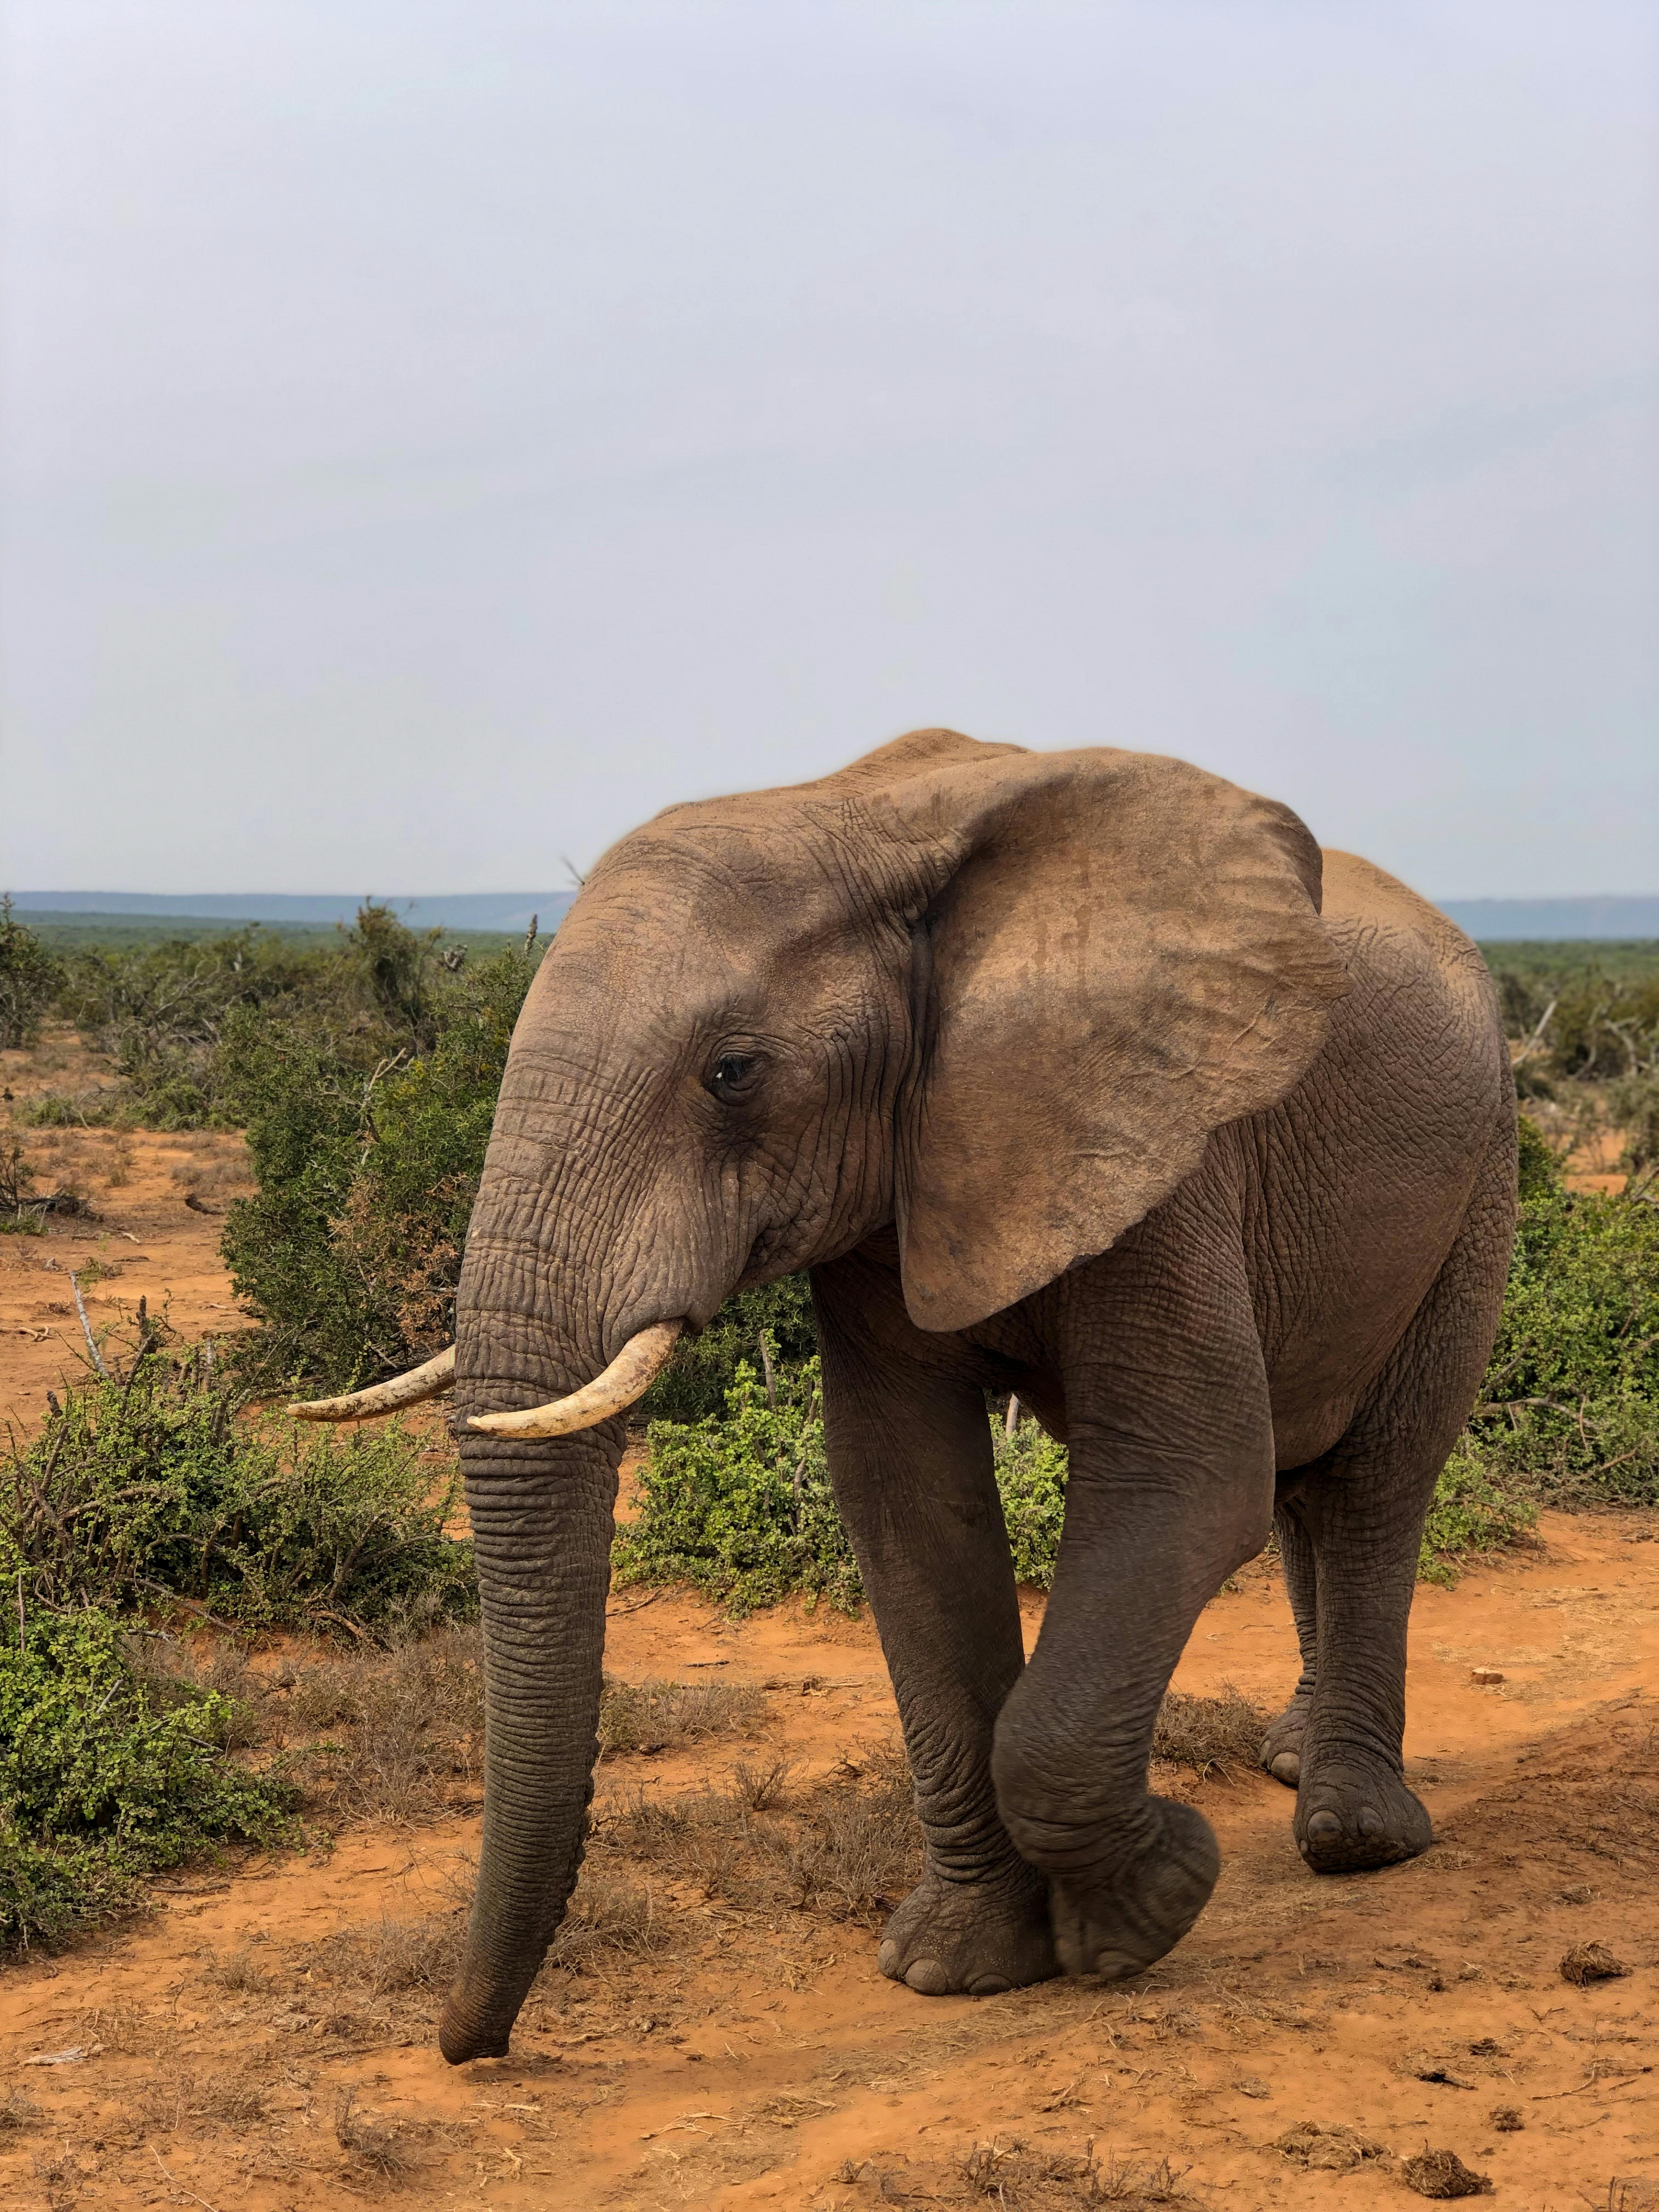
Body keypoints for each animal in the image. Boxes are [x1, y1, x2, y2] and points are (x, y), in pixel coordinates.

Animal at [292, 726, 1517, 2063]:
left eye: (732, 1073)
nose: (469, 2047)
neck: (851, 817)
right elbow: (902, 1494)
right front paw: (959, 1968)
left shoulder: (1162, 1142)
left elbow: (1189, 1475)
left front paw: (1154, 1904)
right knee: (1306, 1478)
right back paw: (1288, 1761)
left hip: (1480, 1176)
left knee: (1371, 1482)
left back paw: (1351, 1837)